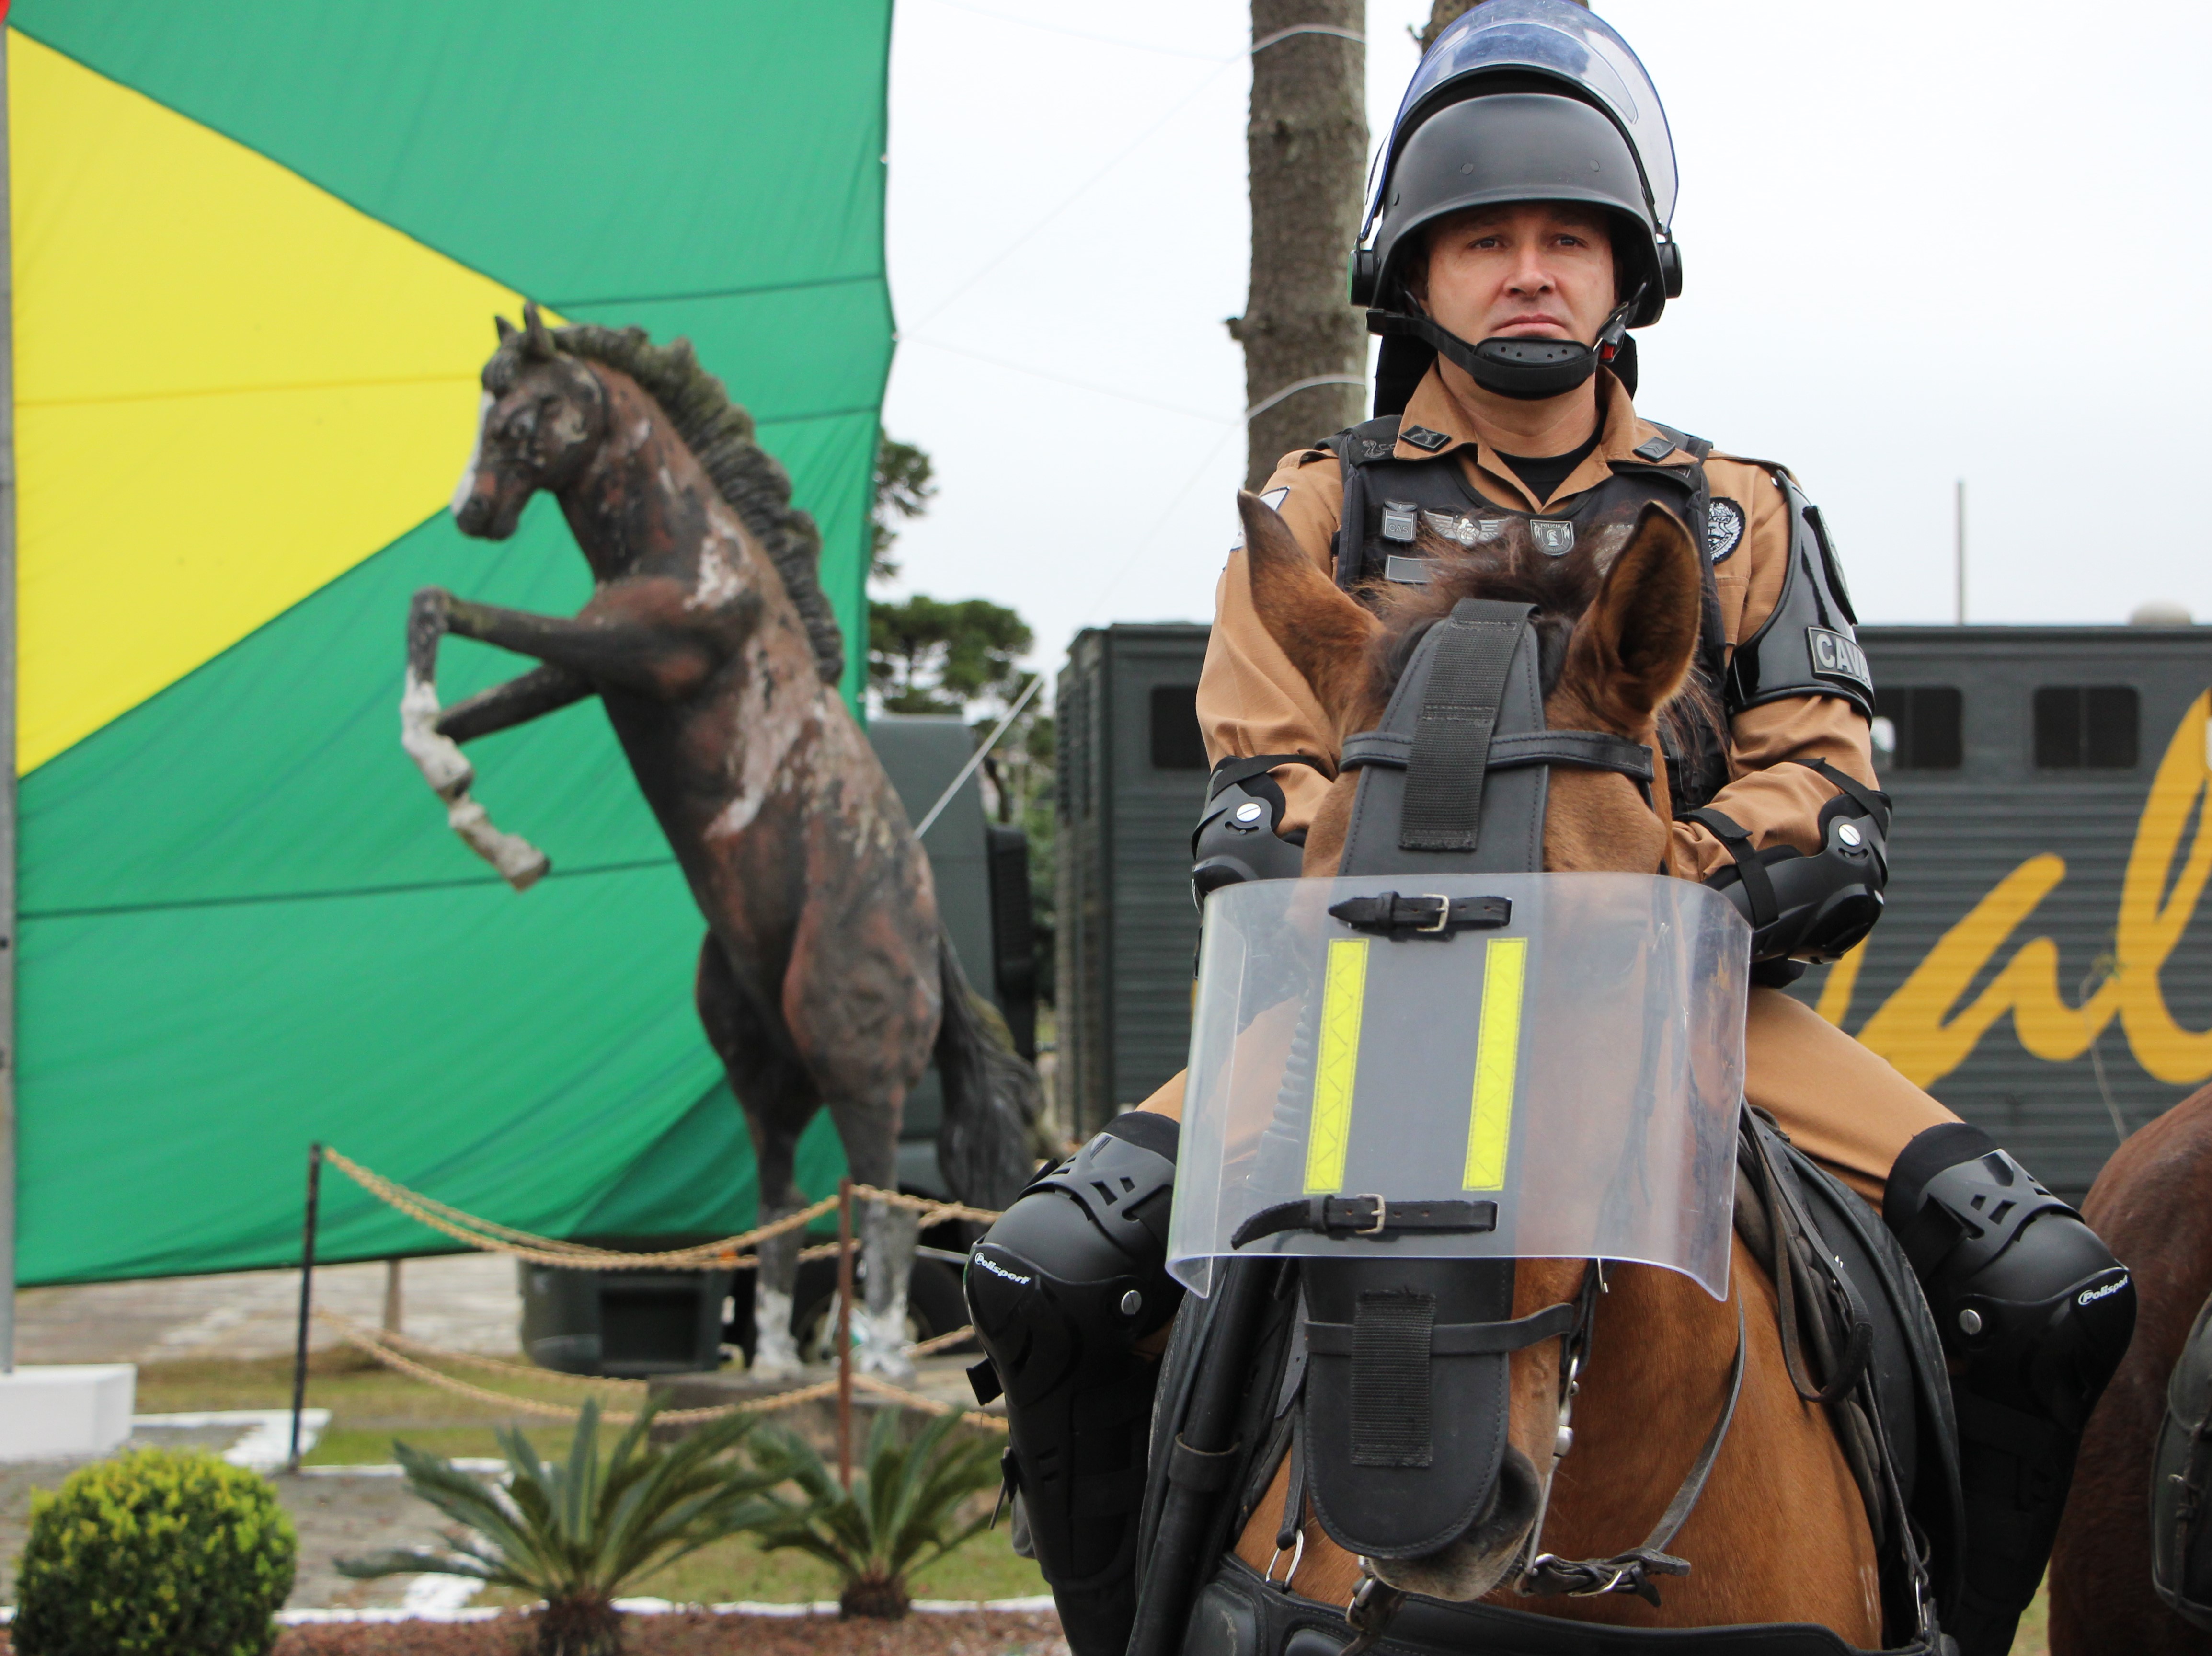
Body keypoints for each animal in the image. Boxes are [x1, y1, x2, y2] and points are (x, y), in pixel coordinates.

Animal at [404, 303, 1035, 1380]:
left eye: (526, 409)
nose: (473, 512)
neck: (686, 548)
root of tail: (935, 951)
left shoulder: (640, 651)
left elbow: (444, 607)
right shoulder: (595, 666)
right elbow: (457, 702)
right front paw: (493, 831)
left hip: (854, 1060)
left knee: (883, 1205)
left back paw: (877, 1360)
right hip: (763, 1074)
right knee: (783, 1209)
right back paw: (777, 1364)